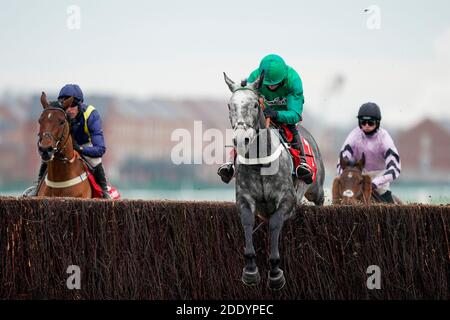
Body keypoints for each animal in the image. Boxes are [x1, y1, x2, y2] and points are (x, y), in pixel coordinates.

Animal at [224, 72, 324, 290]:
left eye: (255, 104)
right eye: (230, 105)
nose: (241, 139)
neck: (260, 162)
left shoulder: (288, 200)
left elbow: (275, 224)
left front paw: (276, 272)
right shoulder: (244, 199)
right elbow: (247, 222)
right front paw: (250, 270)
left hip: (316, 189)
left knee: (319, 199)